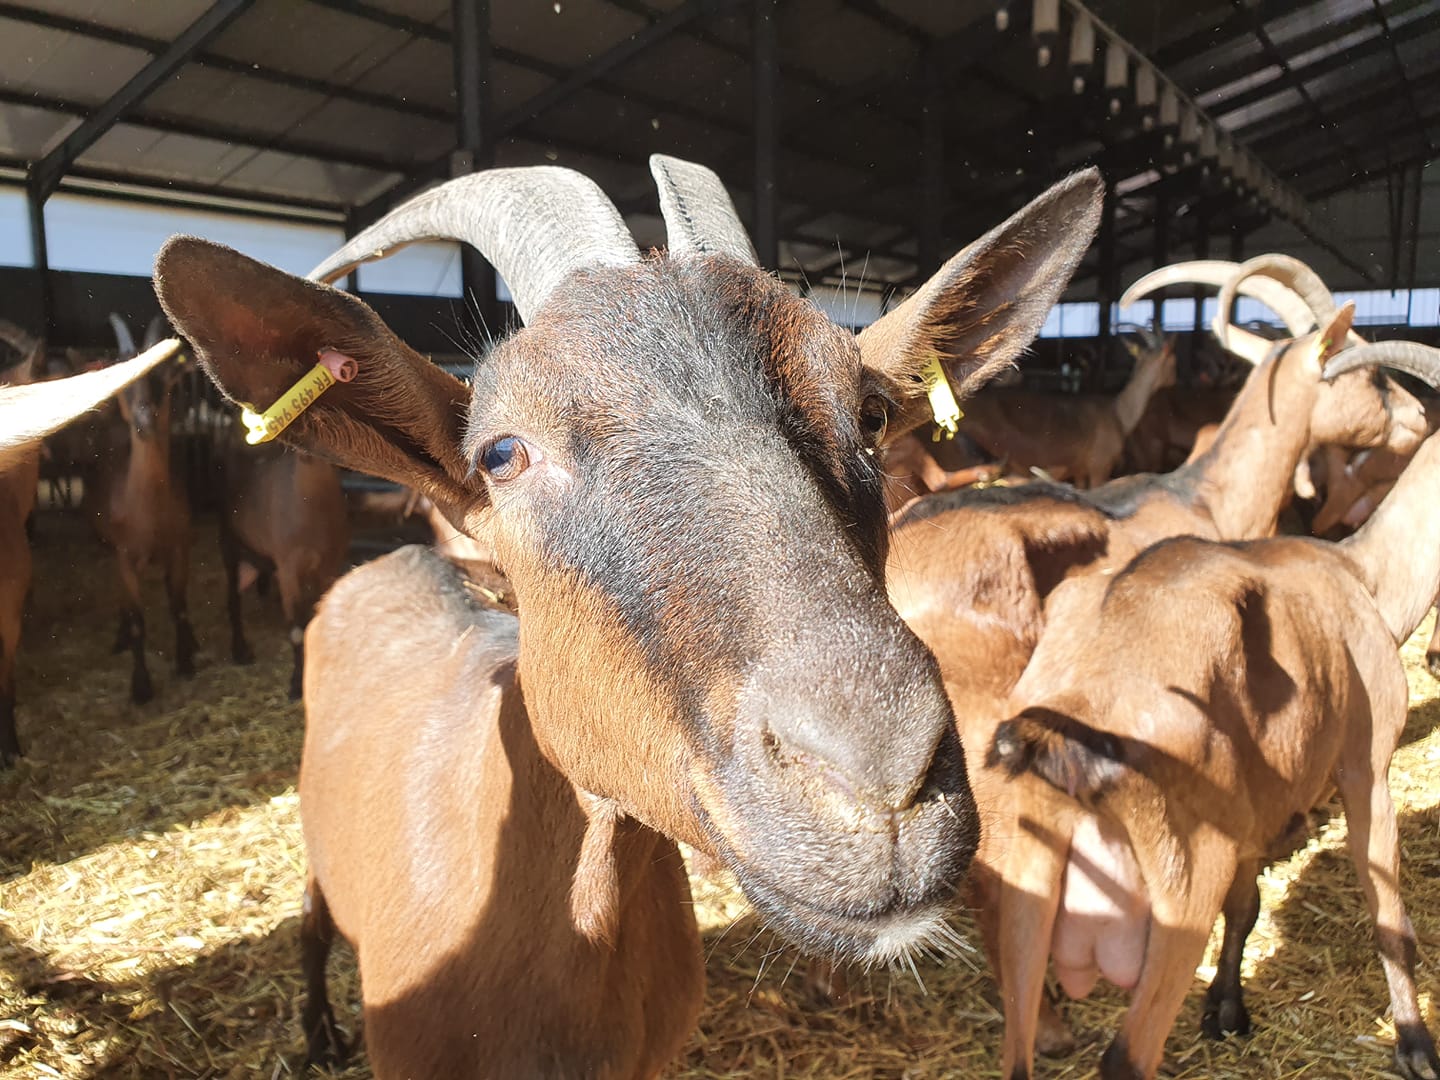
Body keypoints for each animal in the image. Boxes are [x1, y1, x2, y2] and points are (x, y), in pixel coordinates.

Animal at [86, 316, 196, 704]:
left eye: (167, 375)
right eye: (121, 379)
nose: (144, 422)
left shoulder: (179, 547)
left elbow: (179, 607)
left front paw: (185, 660)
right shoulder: (125, 555)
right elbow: (137, 621)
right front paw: (141, 686)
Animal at [219, 440, 349, 699]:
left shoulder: (330, 566)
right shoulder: (289, 568)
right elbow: (297, 631)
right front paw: (296, 684)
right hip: (229, 541)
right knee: (233, 599)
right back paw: (240, 651)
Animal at [987, 369, 1440, 1079]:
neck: (1363, 577)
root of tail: (1062, 733)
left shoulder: (1256, 802)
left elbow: (1247, 906)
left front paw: (1226, 1009)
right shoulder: (1367, 765)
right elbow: (1389, 914)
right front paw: (1415, 1044)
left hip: (1026, 886)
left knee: (1017, 1051)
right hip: (1182, 890)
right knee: (1126, 1056)